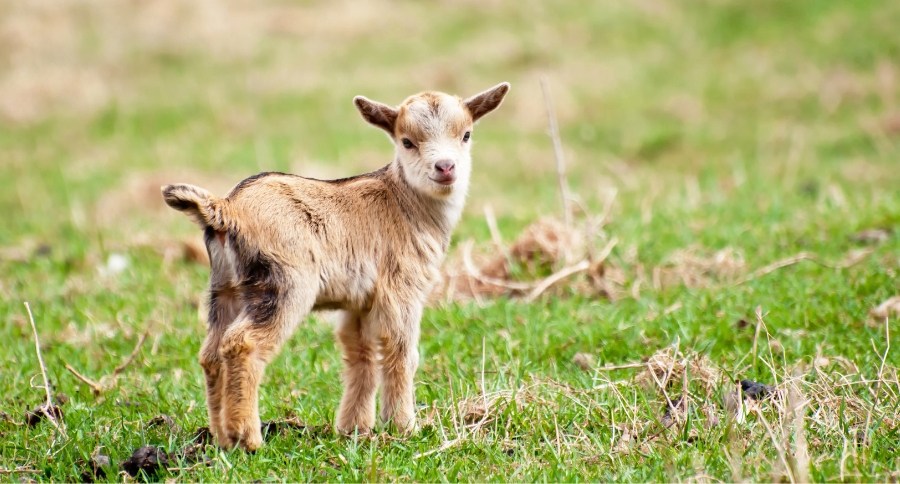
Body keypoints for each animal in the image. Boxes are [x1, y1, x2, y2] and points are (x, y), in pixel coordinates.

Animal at [161, 83, 509, 450]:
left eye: (466, 134)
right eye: (407, 141)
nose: (445, 167)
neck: (405, 202)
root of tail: (226, 209)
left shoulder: (359, 301)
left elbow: (360, 352)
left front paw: (354, 429)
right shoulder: (402, 288)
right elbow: (401, 351)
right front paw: (403, 428)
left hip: (224, 288)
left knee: (211, 353)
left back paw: (222, 437)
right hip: (285, 285)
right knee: (243, 343)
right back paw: (248, 438)